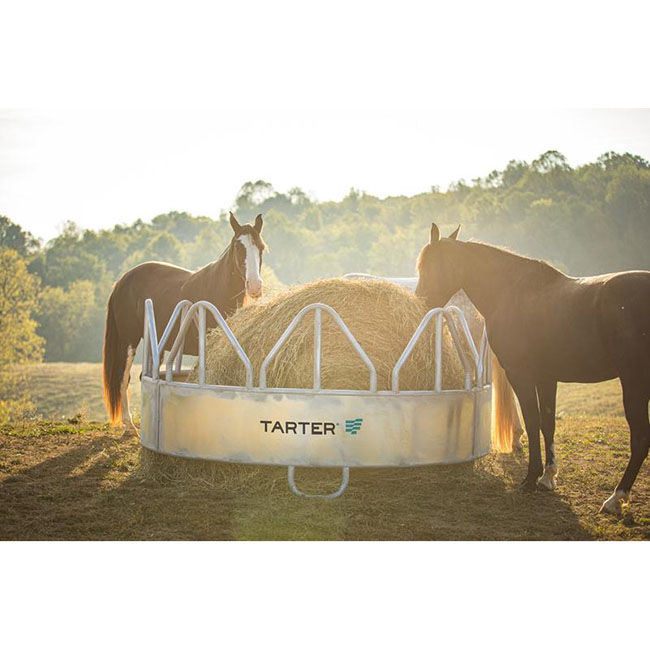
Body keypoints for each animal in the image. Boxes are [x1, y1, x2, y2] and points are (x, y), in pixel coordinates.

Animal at [102, 212, 266, 432]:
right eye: (238, 247)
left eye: (261, 247)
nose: (255, 286)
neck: (217, 288)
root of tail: (122, 281)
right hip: (129, 341)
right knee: (123, 378)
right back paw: (129, 425)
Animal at [415, 223, 650, 515]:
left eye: (428, 266)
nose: (420, 302)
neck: (510, 291)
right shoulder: (546, 378)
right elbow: (548, 423)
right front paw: (548, 476)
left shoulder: (522, 376)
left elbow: (532, 420)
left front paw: (530, 478)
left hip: (634, 383)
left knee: (640, 438)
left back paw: (615, 498)